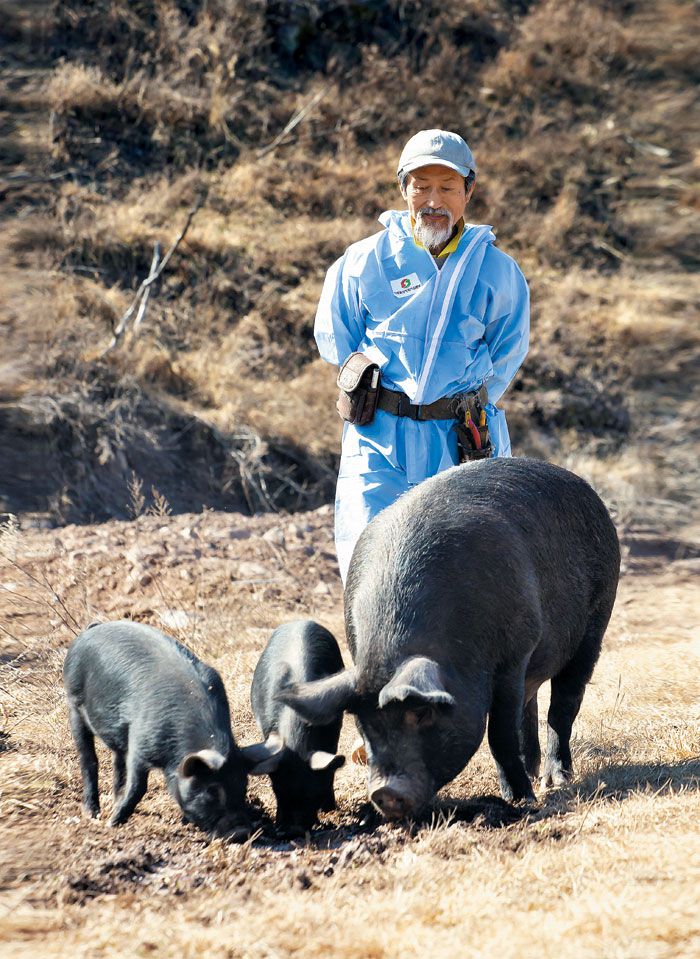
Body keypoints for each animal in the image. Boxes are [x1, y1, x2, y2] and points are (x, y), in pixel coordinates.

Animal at [63, 624, 252, 840]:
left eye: (243, 785)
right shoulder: (140, 744)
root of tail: (91, 628)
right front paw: (112, 823)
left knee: (117, 762)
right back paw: (92, 814)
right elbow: (138, 787)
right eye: (212, 790)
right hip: (73, 703)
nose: (241, 831)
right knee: (88, 758)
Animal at [278, 462, 616, 820]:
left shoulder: (514, 654)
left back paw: (555, 780)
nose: (384, 792)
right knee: (531, 702)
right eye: (364, 722)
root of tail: (586, 489)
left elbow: (500, 734)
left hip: (596, 620)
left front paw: (522, 801)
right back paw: (535, 772)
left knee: (563, 704)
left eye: (422, 713)